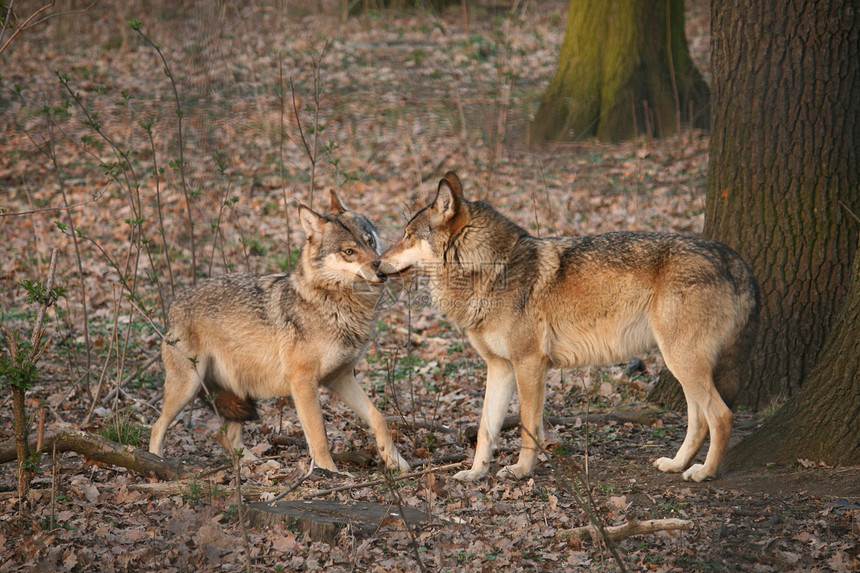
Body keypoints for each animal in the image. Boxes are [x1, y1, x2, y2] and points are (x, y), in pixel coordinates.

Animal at [149, 192, 412, 474]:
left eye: (370, 241)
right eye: (349, 252)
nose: (381, 269)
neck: (336, 304)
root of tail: (173, 304)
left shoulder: (340, 378)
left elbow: (378, 417)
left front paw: (396, 462)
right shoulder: (303, 382)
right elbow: (319, 434)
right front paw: (329, 472)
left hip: (240, 392)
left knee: (224, 434)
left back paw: (256, 463)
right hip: (187, 386)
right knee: (157, 426)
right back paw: (155, 463)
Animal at [376, 171, 760, 482]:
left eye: (408, 235)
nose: (377, 263)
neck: (490, 270)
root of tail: (735, 260)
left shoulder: (529, 364)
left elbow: (528, 426)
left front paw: (521, 471)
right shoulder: (500, 368)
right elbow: (486, 430)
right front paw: (475, 473)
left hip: (682, 360)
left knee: (721, 417)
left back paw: (705, 473)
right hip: (679, 363)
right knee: (698, 419)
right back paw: (677, 465)